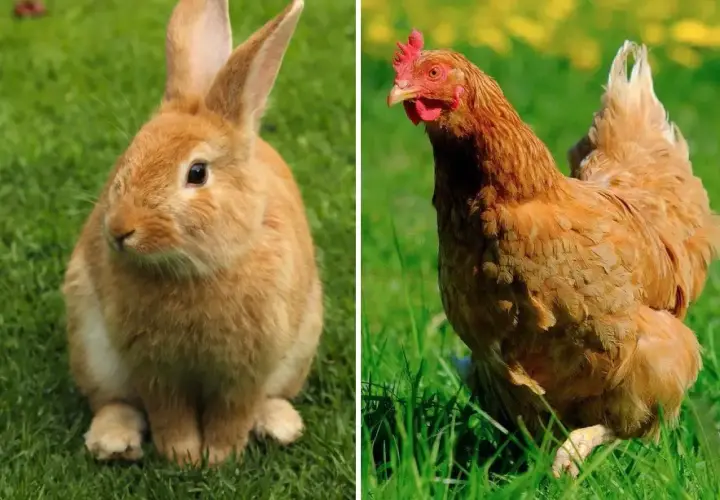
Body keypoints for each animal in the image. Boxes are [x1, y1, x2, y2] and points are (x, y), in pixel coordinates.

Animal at [61, 0, 323, 466]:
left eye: (197, 173)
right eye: (127, 156)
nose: (120, 230)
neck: (197, 270)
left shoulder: (248, 369)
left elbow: (233, 413)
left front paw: (218, 457)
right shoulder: (153, 368)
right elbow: (169, 412)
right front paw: (183, 456)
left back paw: (280, 426)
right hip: (92, 348)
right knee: (114, 401)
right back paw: (113, 443)